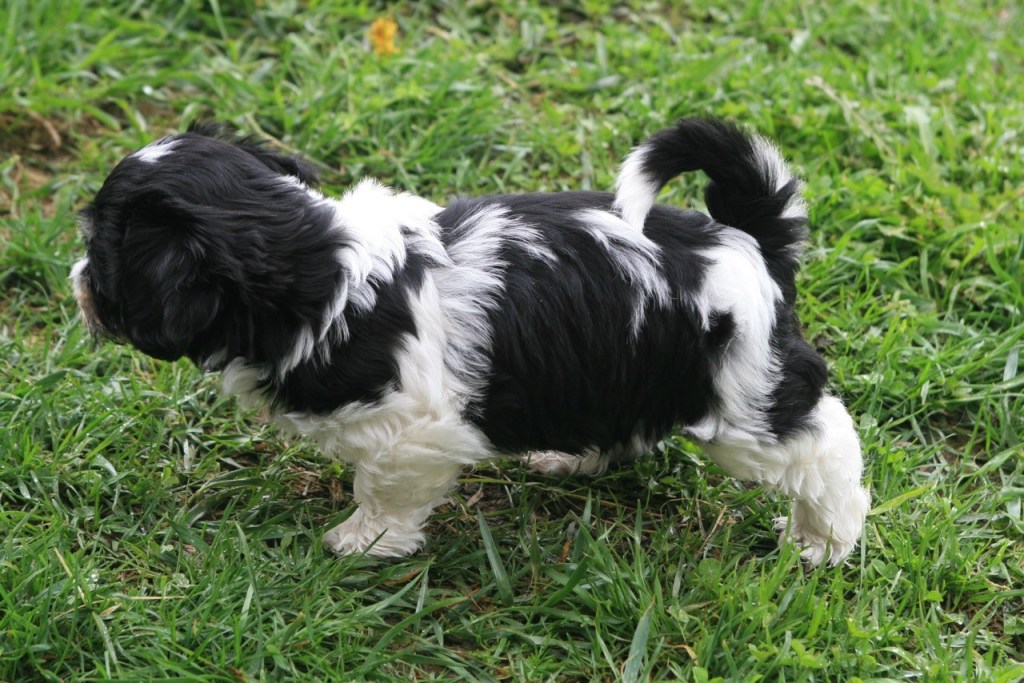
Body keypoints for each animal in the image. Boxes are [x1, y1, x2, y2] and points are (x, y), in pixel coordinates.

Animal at [71, 119, 870, 565]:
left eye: (103, 256)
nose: (75, 280)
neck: (323, 270)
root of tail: (748, 237)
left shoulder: (408, 435)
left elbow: (383, 493)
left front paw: (360, 543)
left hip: (743, 395)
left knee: (824, 447)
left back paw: (822, 543)